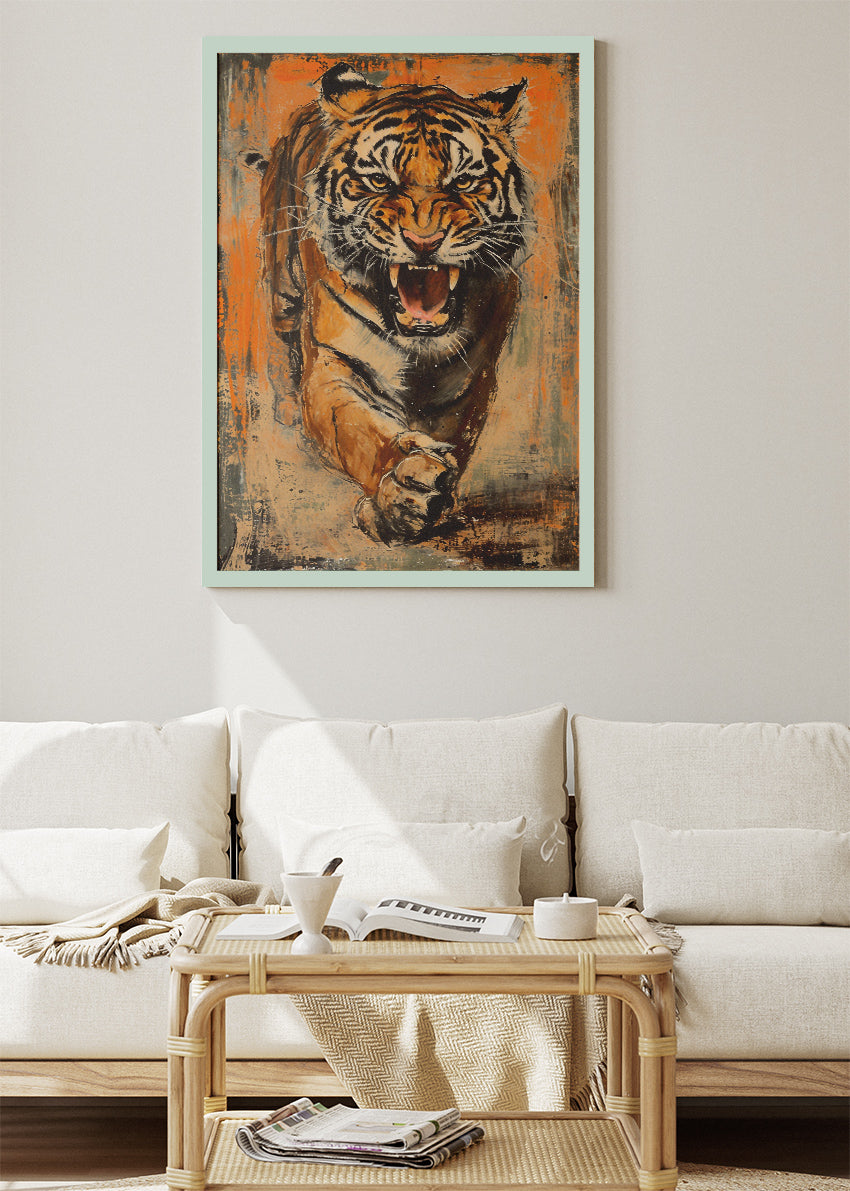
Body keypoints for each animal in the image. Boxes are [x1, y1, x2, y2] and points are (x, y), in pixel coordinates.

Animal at [248, 61, 531, 544]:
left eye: (464, 181)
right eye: (379, 181)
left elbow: (454, 435)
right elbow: (356, 429)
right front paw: (404, 485)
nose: (424, 241)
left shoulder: (472, 379)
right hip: (282, 287)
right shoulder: (334, 362)